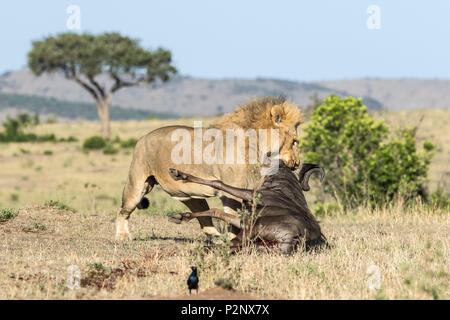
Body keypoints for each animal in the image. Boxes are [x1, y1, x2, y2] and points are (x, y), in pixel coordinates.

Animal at [114, 96, 304, 241]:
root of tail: (143, 137)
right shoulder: (232, 192)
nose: (297, 163)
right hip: (137, 186)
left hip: (190, 196)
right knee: (122, 211)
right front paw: (236, 238)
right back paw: (122, 236)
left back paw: (216, 239)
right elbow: (234, 217)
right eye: (295, 141)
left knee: (205, 221)